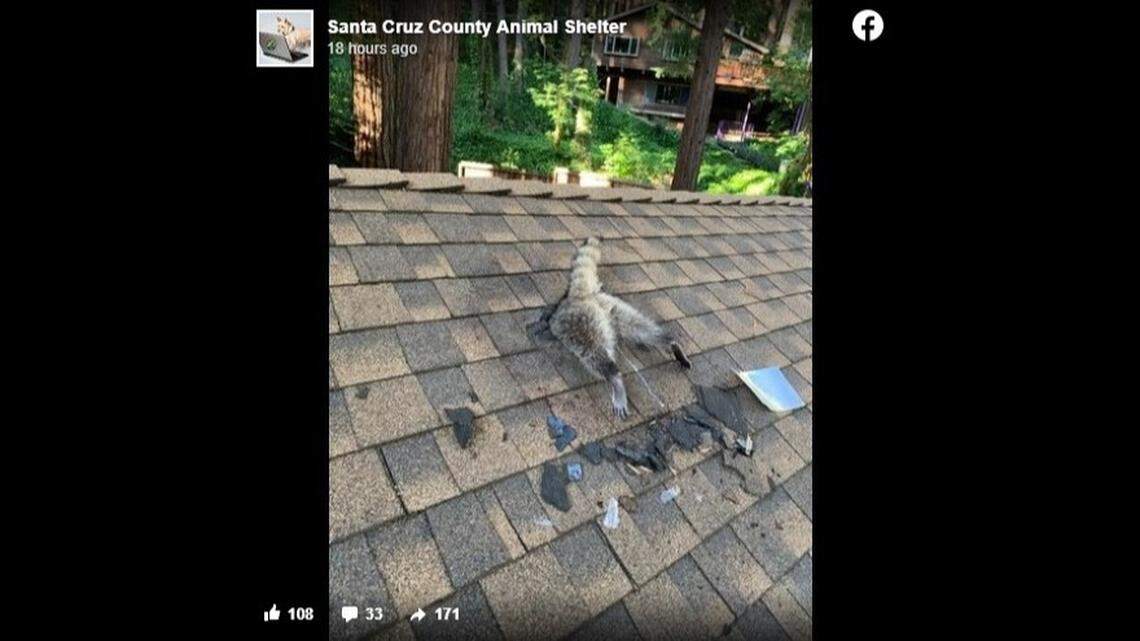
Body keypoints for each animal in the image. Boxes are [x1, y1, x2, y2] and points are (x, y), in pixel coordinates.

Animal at [547, 238, 691, 419]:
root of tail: (578, 296)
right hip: (612, 306)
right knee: (640, 328)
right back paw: (671, 343)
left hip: (584, 324)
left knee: (595, 354)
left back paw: (615, 379)